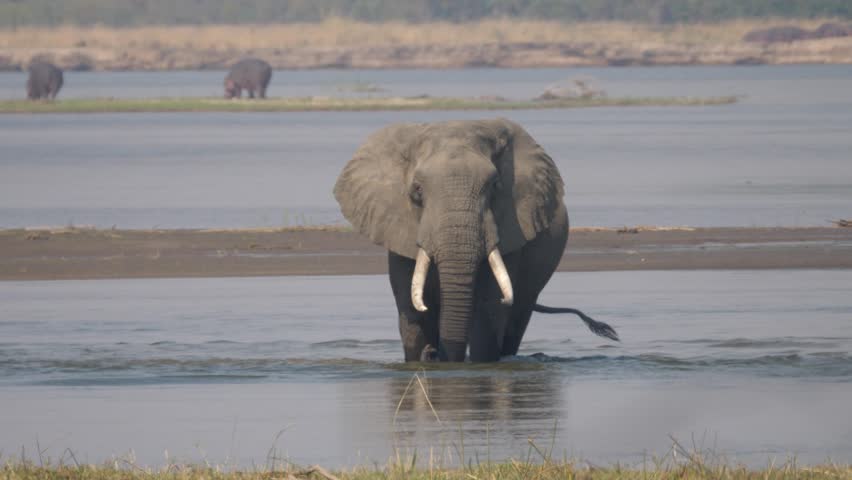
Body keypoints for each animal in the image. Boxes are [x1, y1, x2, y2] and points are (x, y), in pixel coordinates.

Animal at [334, 118, 618, 362]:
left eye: (494, 186)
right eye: (417, 190)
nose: (433, 353)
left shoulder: (512, 226)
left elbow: (488, 309)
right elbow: (413, 311)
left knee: (517, 317)